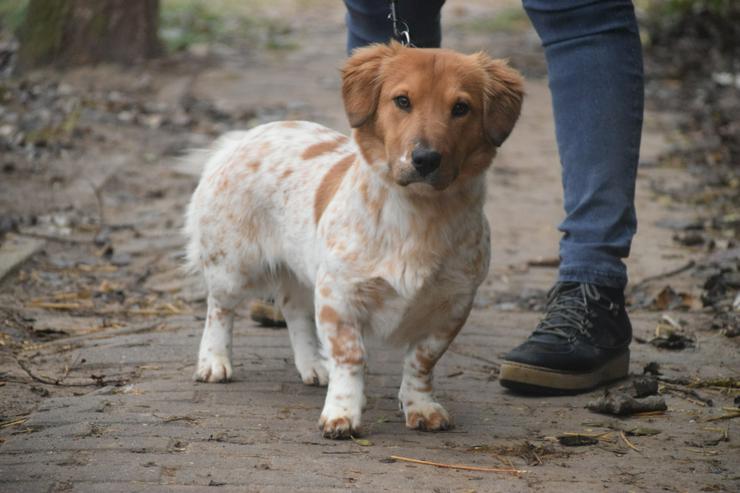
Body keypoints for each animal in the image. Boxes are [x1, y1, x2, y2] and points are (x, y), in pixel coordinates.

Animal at [184, 40, 520, 436]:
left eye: (461, 108)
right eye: (402, 101)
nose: (425, 158)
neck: (418, 218)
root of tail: (242, 138)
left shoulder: (452, 306)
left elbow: (421, 362)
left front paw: (420, 406)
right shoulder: (340, 295)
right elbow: (351, 356)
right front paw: (342, 412)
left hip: (301, 272)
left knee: (295, 312)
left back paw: (313, 365)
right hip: (233, 265)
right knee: (218, 309)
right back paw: (214, 361)